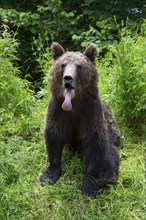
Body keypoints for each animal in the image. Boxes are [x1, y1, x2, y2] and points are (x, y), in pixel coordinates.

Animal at [40, 42, 120, 199]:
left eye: (79, 66)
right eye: (63, 64)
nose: (68, 78)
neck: (74, 105)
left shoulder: (91, 113)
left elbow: (95, 144)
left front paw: (90, 186)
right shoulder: (58, 111)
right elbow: (53, 136)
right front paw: (49, 175)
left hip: (110, 126)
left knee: (109, 151)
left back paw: (107, 178)